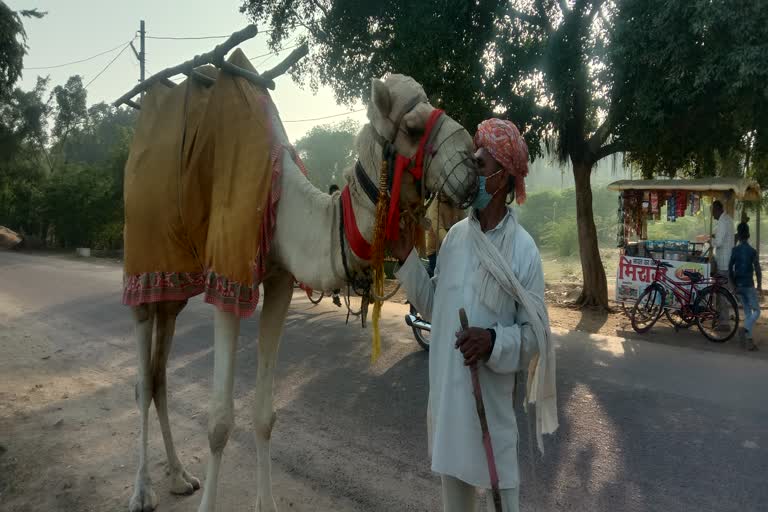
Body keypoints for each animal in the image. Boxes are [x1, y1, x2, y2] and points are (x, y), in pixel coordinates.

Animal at [119, 49, 476, 512]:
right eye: (413, 128)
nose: (471, 161)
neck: (285, 204)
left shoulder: (280, 283)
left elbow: (265, 416)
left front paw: (265, 504)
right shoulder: (230, 277)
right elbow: (219, 422)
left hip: (174, 286)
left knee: (160, 371)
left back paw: (179, 476)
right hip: (142, 263)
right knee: (144, 377)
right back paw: (142, 491)